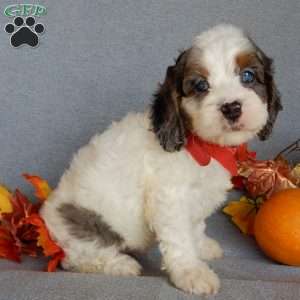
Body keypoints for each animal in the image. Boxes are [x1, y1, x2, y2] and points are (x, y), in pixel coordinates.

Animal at [41, 24, 282, 296]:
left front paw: (202, 247)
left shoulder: (197, 199)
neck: (202, 146)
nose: (231, 107)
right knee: (76, 259)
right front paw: (192, 272)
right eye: (201, 85)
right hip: (88, 224)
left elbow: (195, 227)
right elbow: (180, 240)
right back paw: (121, 264)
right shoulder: (170, 198)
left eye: (248, 76)